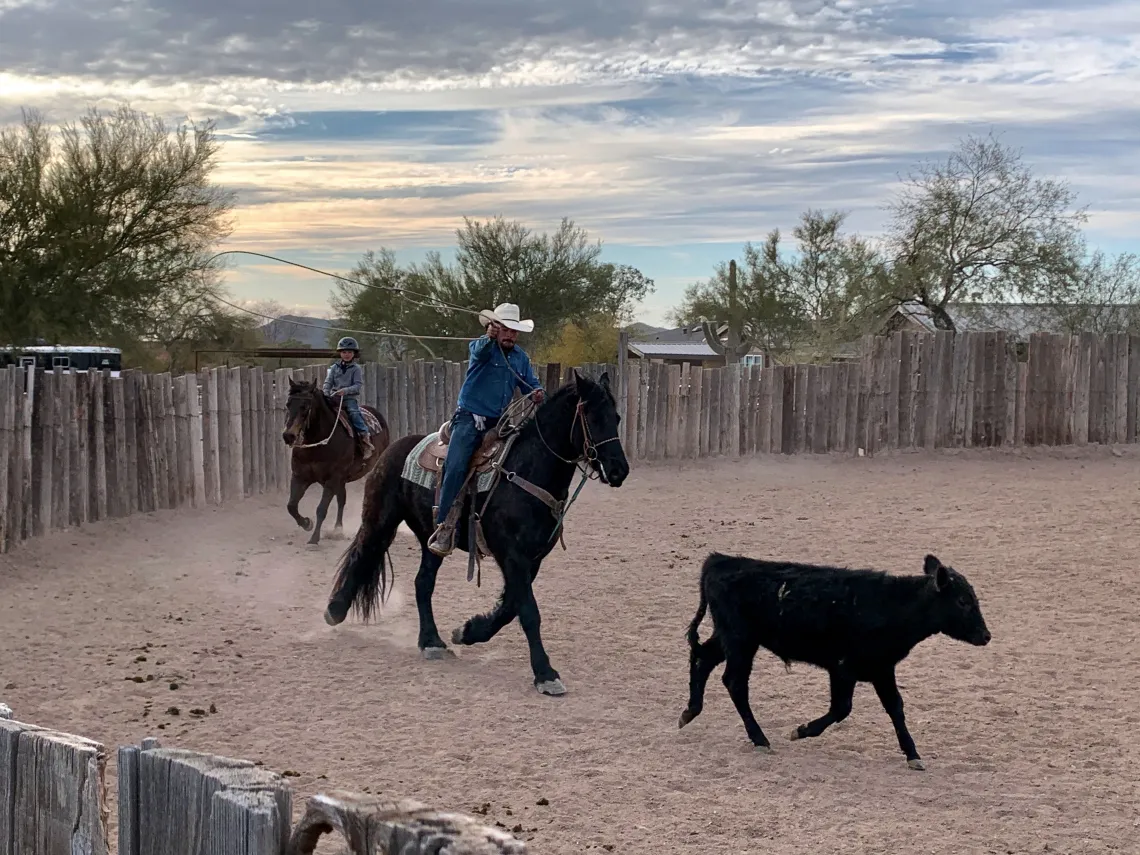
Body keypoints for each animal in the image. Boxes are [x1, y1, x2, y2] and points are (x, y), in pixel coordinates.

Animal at [280, 380, 392, 549]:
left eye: (305, 406)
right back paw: (337, 529)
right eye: (288, 403)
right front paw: (307, 523)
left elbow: (321, 509)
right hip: (341, 480)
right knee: (341, 499)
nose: (288, 436)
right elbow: (291, 505)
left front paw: (314, 538)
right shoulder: (300, 477)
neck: (318, 443)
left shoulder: (332, 479)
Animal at [323, 373, 633, 697]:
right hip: (380, 522)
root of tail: (395, 448)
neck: (529, 471)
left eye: (616, 417)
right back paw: (335, 610)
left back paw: (431, 641)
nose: (618, 470)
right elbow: (529, 612)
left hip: (432, 541)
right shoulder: (512, 556)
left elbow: (510, 607)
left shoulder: (531, 560)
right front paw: (545, 674)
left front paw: (467, 632)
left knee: (423, 583)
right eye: (593, 417)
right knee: (362, 556)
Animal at [674, 551, 989, 775]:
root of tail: (719, 561)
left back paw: (690, 711)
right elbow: (842, 709)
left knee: (703, 659)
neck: (892, 606)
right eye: (963, 601)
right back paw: (760, 738)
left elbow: (895, 708)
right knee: (735, 683)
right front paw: (800, 731)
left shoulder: (881, 668)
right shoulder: (843, 669)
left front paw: (913, 755)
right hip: (740, 641)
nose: (986, 636)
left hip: (728, 637)